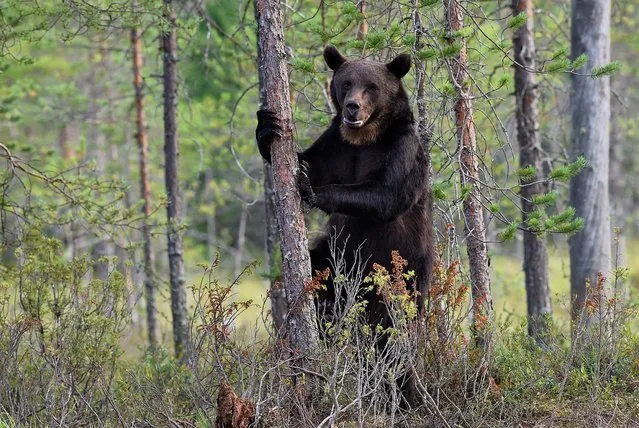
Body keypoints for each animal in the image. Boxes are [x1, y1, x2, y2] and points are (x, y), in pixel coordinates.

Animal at [256, 44, 436, 408]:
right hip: (338, 259)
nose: (353, 107)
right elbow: (306, 157)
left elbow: (384, 195)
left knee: (396, 333)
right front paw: (267, 128)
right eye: (346, 83)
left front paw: (309, 187)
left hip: (402, 273)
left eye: (372, 87)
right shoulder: (336, 145)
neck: (364, 138)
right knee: (319, 272)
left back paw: (403, 394)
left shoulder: (402, 152)